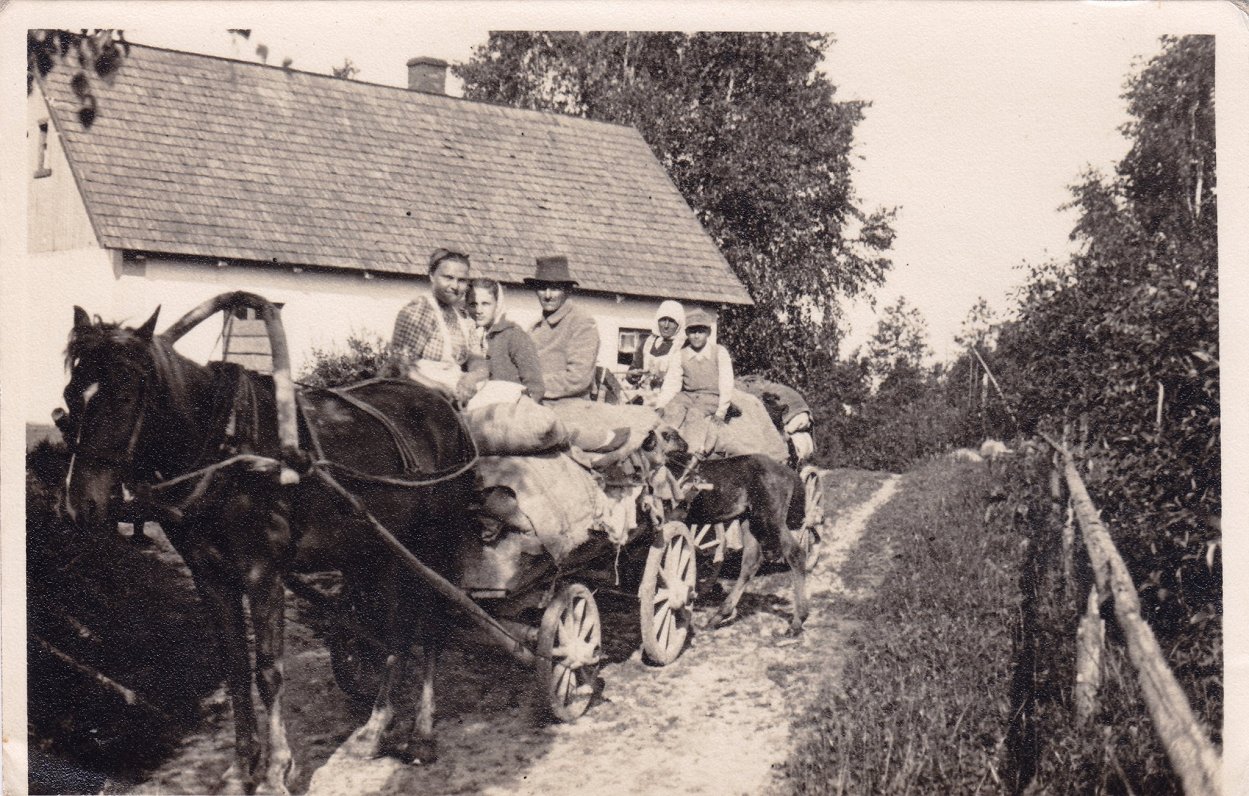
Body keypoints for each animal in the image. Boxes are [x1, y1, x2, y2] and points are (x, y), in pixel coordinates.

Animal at [57, 302, 477, 789]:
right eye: (70, 396)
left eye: (125, 396)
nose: (80, 504)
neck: (226, 449)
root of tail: (445, 408)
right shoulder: (209, 575)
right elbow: (236, 668)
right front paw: (241, 769)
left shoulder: (263, 573)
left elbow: (269, 671)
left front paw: (276, 772)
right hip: (384, 550)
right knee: (398, 629)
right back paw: (373, 730)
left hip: (436, 545)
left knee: (431, 627)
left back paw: (422, 735)